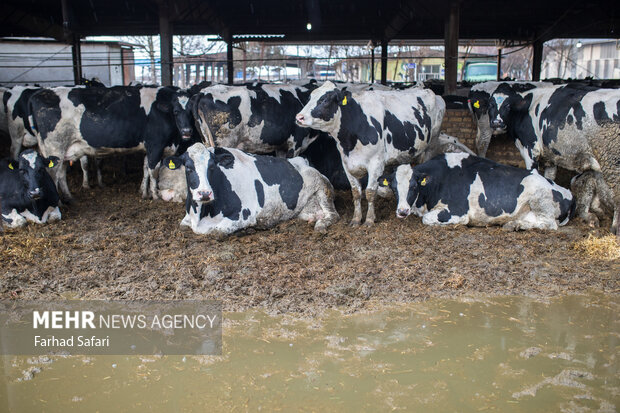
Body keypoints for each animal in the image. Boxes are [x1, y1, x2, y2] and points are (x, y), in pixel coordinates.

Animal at [28, 84, 194, 200]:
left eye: (191, 111)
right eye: (175, 111)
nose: (187, 131)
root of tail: (40, 93)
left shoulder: (149, 148)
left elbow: (145, 169)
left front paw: (143, 192)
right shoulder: (155, 145)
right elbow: (153, 171)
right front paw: (155, 195)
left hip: (62, 151)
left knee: (61, 175)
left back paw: (69, 198)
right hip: (54, 148)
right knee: (52, 176)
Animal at [296, 80, 446, 225]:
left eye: (325, 100)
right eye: (309, 97)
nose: (299, 117)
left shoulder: (376, 163)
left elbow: (370, 192)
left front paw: (369, 219)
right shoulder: (347, 163)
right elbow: (356, 193)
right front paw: (356, 219)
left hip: (432, 143)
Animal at [378, 151, 576, 230]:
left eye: (413, 186)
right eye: (394, 188)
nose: (402, 211)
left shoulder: (457, 211)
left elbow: (427, 219)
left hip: (540, 199)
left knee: (549, 224)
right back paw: (514, 224)